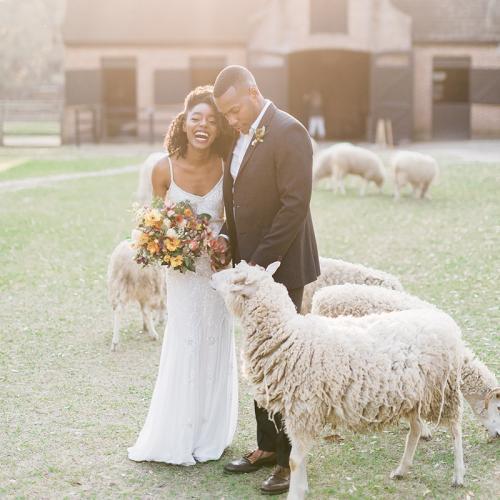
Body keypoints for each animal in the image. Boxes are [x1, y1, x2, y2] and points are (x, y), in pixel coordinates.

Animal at [212, 260, 468, 498]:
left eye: (236, 278)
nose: (213, 277)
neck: (288, 336)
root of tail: (445, 321)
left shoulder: (302, 409)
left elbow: (294, 460)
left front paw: (295, 491)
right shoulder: (298, 411)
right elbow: (299, 458)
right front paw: (302, 487)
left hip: (443, 389)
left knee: (455, 429)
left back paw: (458, 475)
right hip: (412, 396)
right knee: (415, 429)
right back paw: (402, 470)